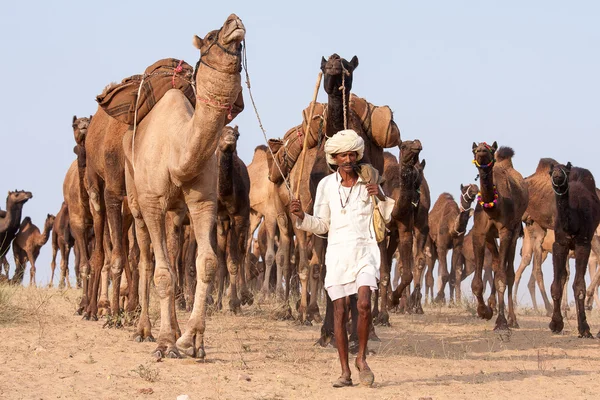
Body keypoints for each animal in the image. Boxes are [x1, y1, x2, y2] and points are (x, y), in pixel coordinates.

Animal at [122, 14, 246, 360]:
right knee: (146, 259)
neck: (178, 151)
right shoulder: (152, 201)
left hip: (176, 214)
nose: (235, 20)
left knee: (176, 255)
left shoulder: (203, 201)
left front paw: (191, 341)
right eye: (211, 36)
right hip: (135, 199)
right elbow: (162, 273)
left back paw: (175, 330)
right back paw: (144, 331)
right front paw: (165, 343)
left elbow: (206, 263)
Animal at [468, 142, 524, 330]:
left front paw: (501, 321)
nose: (481, 151)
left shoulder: (506, 231)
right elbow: (477, 283)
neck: (493, 208)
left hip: (515, 232)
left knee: (509, 272)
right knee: (496, 262)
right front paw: (484, 311)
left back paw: (513, 319)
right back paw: (491, 304)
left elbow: (502, 277)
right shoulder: (479, 233)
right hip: (491, 238)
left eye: (490, 150)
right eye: (474, 149)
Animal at [548, 162, 600, 338]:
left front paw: (584, 328)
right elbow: (556, 284)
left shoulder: (583, 244)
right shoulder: (559, 244)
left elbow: (579, 286)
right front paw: (555, 324)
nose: (557, 174)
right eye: (551, 170)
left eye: (564, 169)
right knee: (564, 275)